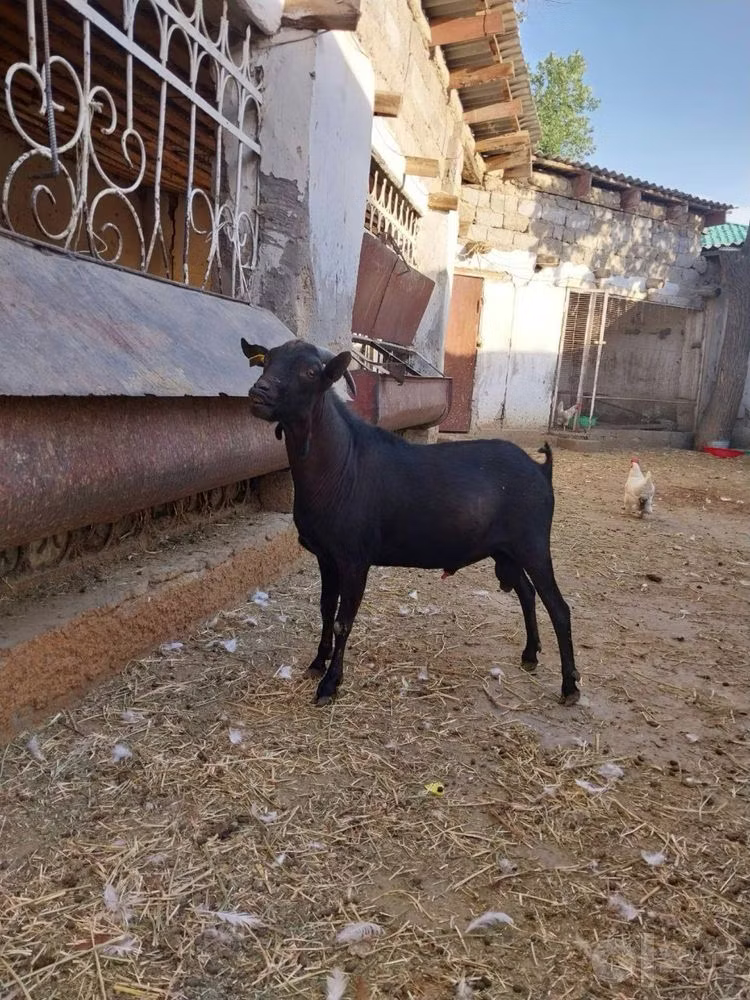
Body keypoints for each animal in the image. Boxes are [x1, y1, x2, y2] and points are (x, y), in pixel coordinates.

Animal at [241, 337, 580, 706]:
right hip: (504, 550)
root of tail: (542, 470)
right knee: (527, 593)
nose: (259, 392)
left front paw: (330, 684)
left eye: (311, 372)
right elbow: (326, 610)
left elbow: (343, 620)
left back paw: (570, 686)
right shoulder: (327, 557)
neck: (343, 462)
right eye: (267, 361)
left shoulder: (354, 558)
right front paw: (317, 663)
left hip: (533, 545)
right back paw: (530, 655)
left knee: (558, 607)